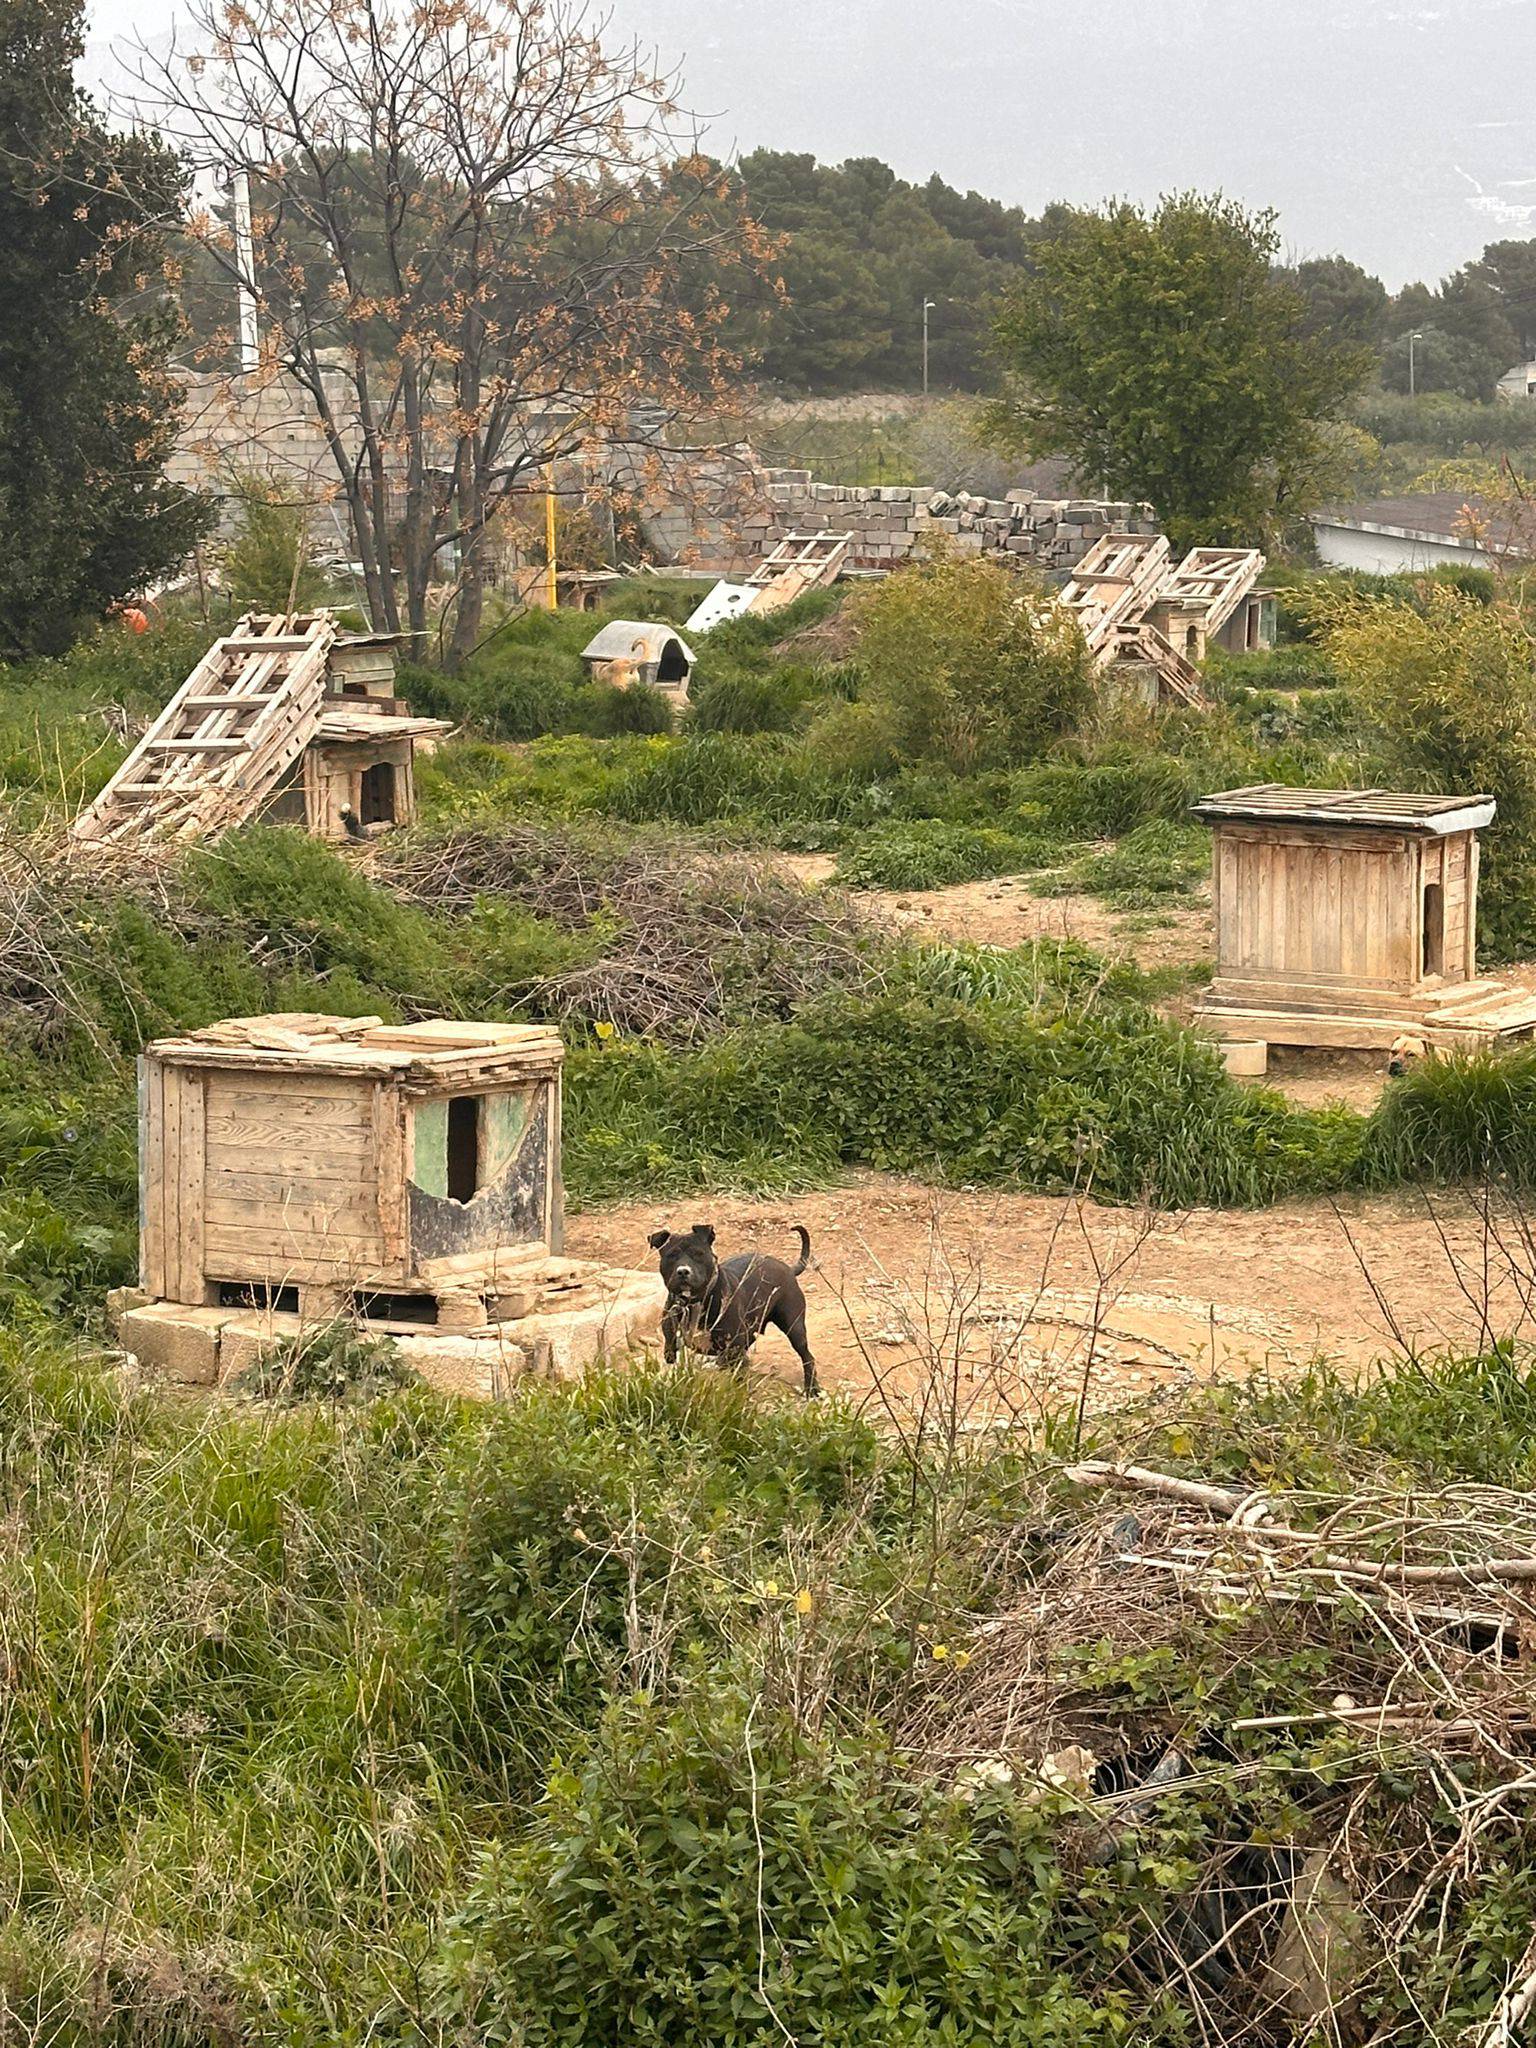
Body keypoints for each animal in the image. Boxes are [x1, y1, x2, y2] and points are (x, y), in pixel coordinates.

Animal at [647, 1220, 819, 1400]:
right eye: (671, 1255)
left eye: (698, 1254)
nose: (683, 1271)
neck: (693, 1302)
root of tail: (789, 1269)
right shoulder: (671, 1346)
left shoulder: (735, 1348)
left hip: (794, 1327)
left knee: (807, 1357)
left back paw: (812, 1388)